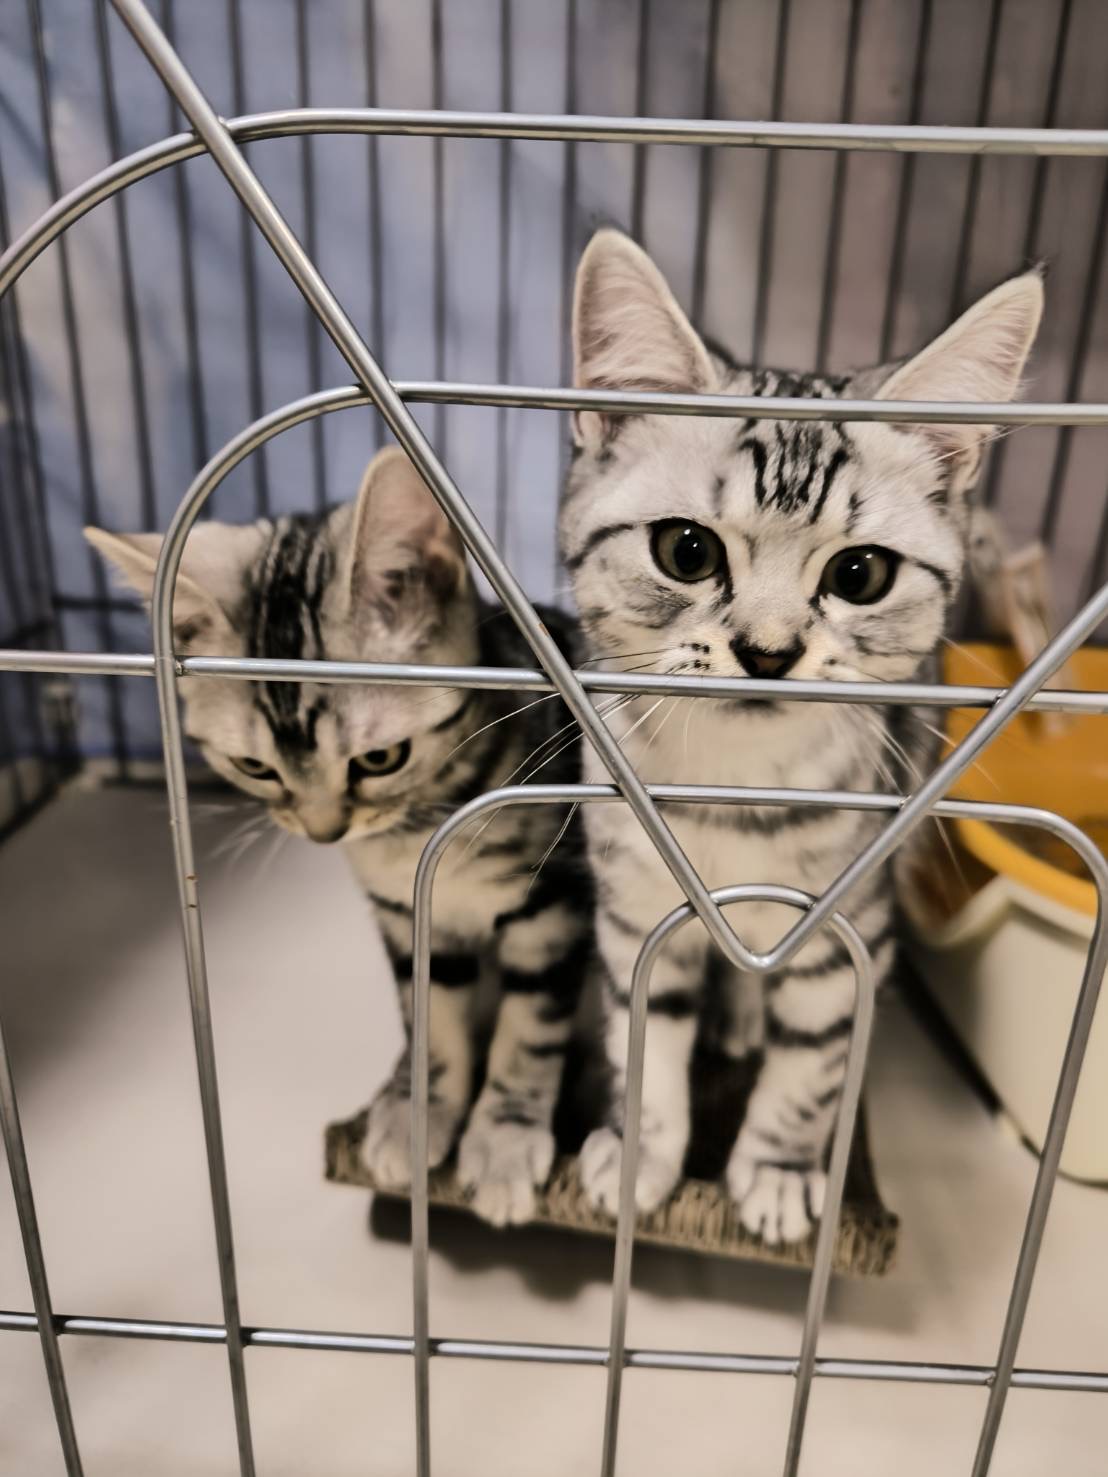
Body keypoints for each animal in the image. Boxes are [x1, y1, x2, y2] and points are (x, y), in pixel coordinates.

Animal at [86, 446, 594, 1228]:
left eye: (379, 758)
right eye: (256, 768)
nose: (324, 832)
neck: (422, 825)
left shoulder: (555, 903)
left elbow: (530, 1027)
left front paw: (504, 1139)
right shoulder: (407, 917)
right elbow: (429, 1020)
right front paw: (420, 1109)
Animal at [559, 228, 1043, 1245]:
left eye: (860, 574)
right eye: (687, 551)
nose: (769, 650)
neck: (734, 790)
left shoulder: (850, 928)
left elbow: (814, 1062)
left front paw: (778, 1173)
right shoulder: (635, 909)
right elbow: (643, 1033)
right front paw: (641, 1152)